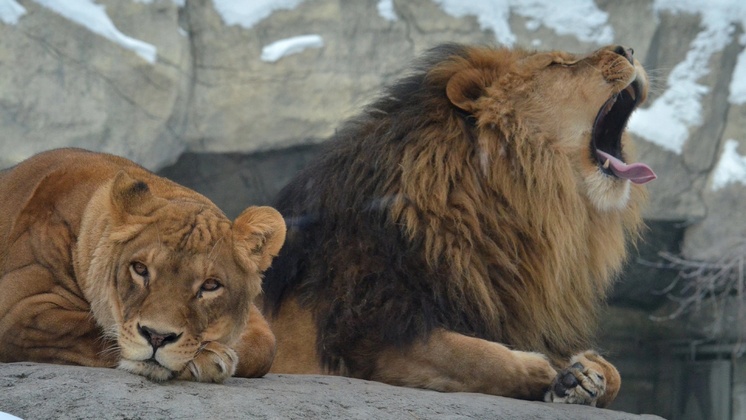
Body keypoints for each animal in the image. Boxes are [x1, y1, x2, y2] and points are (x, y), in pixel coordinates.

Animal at [0, 149, 284, 382]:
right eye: (140, 269)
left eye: (210, 285)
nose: (157, 337)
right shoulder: (18, 310)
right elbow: (91, 330)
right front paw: (207, 357)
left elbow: (266, 346)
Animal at [260, 45, 652, 406]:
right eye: (558, 64)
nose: (628, 50)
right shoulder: (375, 334)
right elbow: (471, 356)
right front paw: (550, 373)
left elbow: (615, 374)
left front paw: (583, 374)